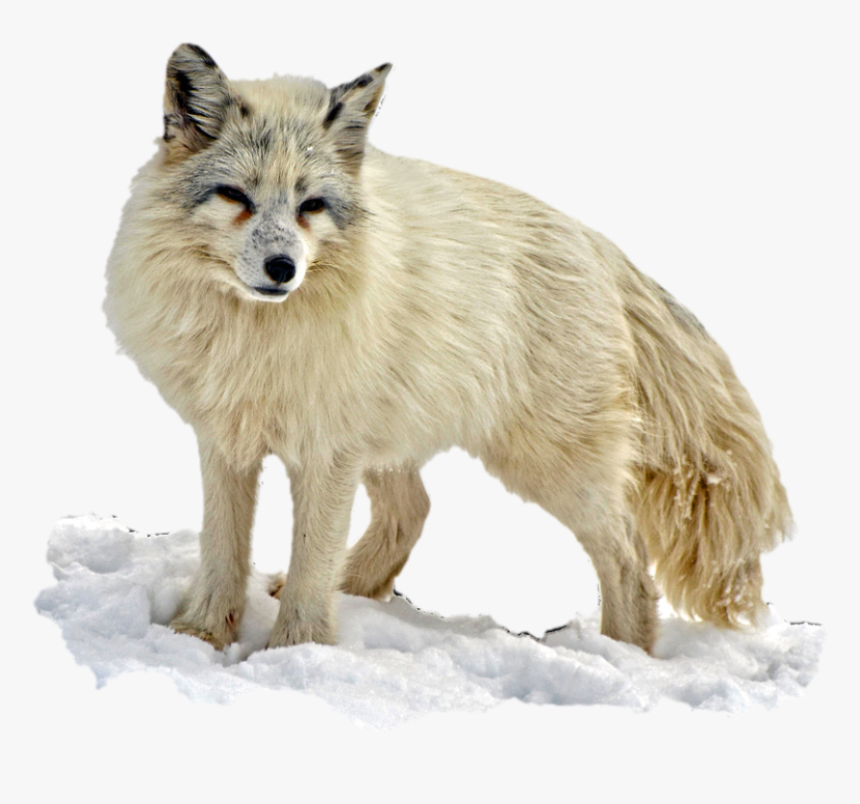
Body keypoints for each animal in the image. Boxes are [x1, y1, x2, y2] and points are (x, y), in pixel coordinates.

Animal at [104, 44, 792, 655]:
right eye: (235, 197)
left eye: (311, 206)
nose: (282, 269)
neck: (255, 336)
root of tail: (598, 245)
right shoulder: (228, 439)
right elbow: (223, 549)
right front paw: (200, 636)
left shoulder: (326, 452)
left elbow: (311, 563)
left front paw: (294, 653)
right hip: (398, 444)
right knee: (415, 512)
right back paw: (356, 590)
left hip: (549, 465)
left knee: (628, 560)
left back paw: (623, 656)